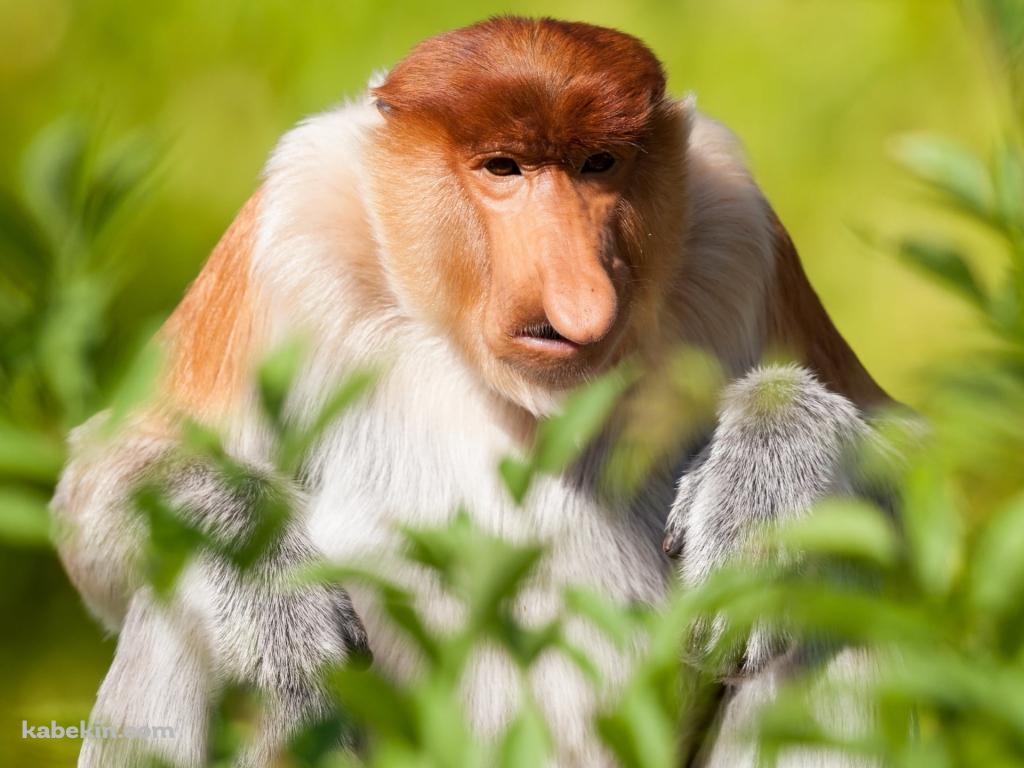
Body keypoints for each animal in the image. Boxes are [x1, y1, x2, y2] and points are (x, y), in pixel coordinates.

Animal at [51, 17, 890, 768]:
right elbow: (102, 490)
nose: (580, 299)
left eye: (599, 163)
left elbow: (901, 457)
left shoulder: (740, 233)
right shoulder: (286, 230)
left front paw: (761, 494)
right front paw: (275, 608)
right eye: (503, 167)